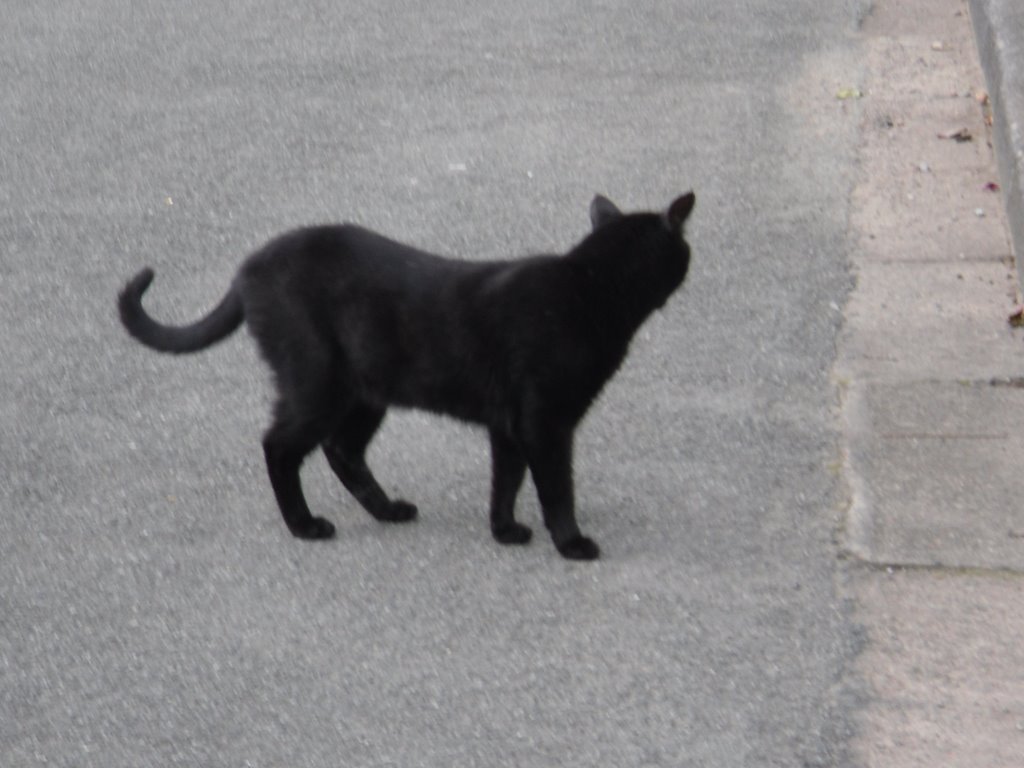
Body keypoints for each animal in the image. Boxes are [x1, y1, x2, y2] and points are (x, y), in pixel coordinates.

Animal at [117, 195, 696, 561]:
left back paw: (388, 510)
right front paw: (572, 544)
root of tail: (249, 267)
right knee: (280, 446)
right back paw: (305, 526)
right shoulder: (545, 423)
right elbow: (556, 488)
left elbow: (505, 481)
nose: (693, 260)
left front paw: (504, 530)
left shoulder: (508, 425)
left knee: (341, 451)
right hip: (318, 383)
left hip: (366, 393)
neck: (589, 288)